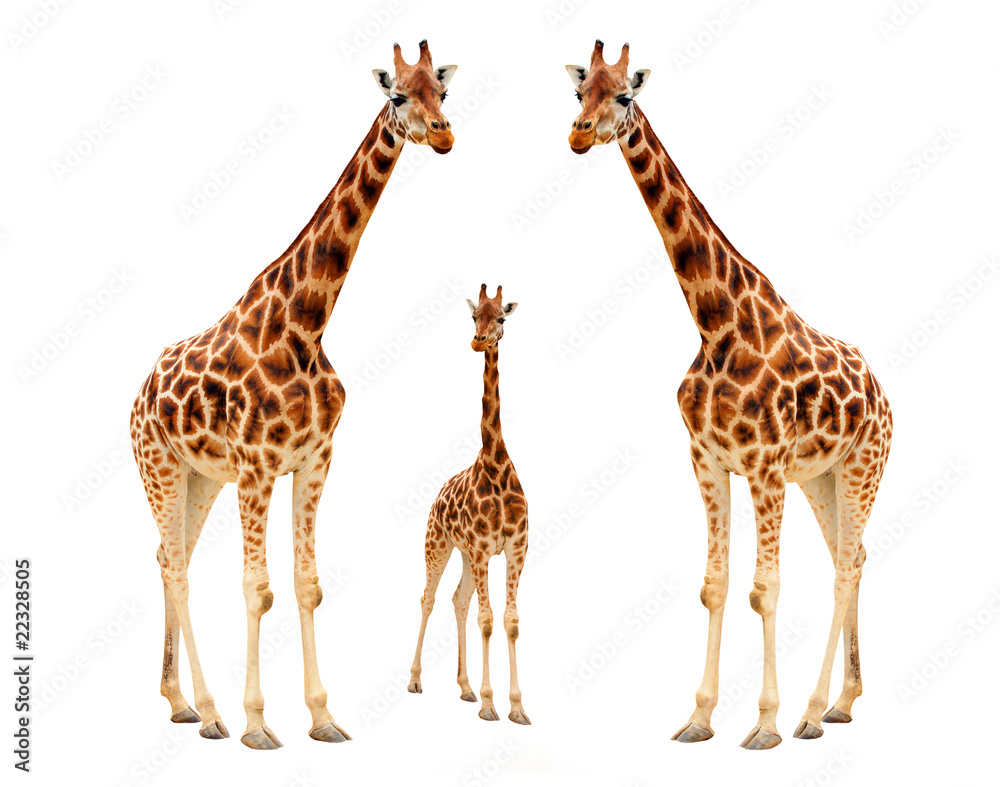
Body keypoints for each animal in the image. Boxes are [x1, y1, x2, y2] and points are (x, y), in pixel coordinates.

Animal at [129, 41, 457, 749]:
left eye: (442, 93)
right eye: (398, 96)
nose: (444, 134)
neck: (307, 322)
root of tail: (138, 394)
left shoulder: (312, 462)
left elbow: (308, 588)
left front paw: (323, 717)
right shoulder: (257, 467)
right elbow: (259, 589)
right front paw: (258, 724)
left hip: (201, 477)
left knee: (172, 557)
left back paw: (180, 702)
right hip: (159, 467)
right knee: (175, 564)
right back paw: (213, 712)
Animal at [406, 284, 530, 725]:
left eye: (502, 318)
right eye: (474, 316)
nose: (478, 341)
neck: (495, 466)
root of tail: (437, 494)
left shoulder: (514, 549)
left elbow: (510, 621)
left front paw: (517, 707)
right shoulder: (481, 550)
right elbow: (488, 620)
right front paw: (491, 704)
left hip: (461, 552)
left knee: (458, 602)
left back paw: (464, 687)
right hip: (438, 544)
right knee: (428, 599)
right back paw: (415, 680)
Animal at [565, 41, 892, 749]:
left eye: (624, 95)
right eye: (579, 93)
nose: (578, 134)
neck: (714, 321)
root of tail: (883, 392)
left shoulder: (764, 467)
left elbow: (763, 589)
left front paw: (764, 724)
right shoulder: (709, 461)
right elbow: (714, 587)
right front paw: (698, 717)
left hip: (862, 467)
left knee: (846, 566)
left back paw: (809, 712)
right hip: (820, 478)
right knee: (848, 557)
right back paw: (841, 703)